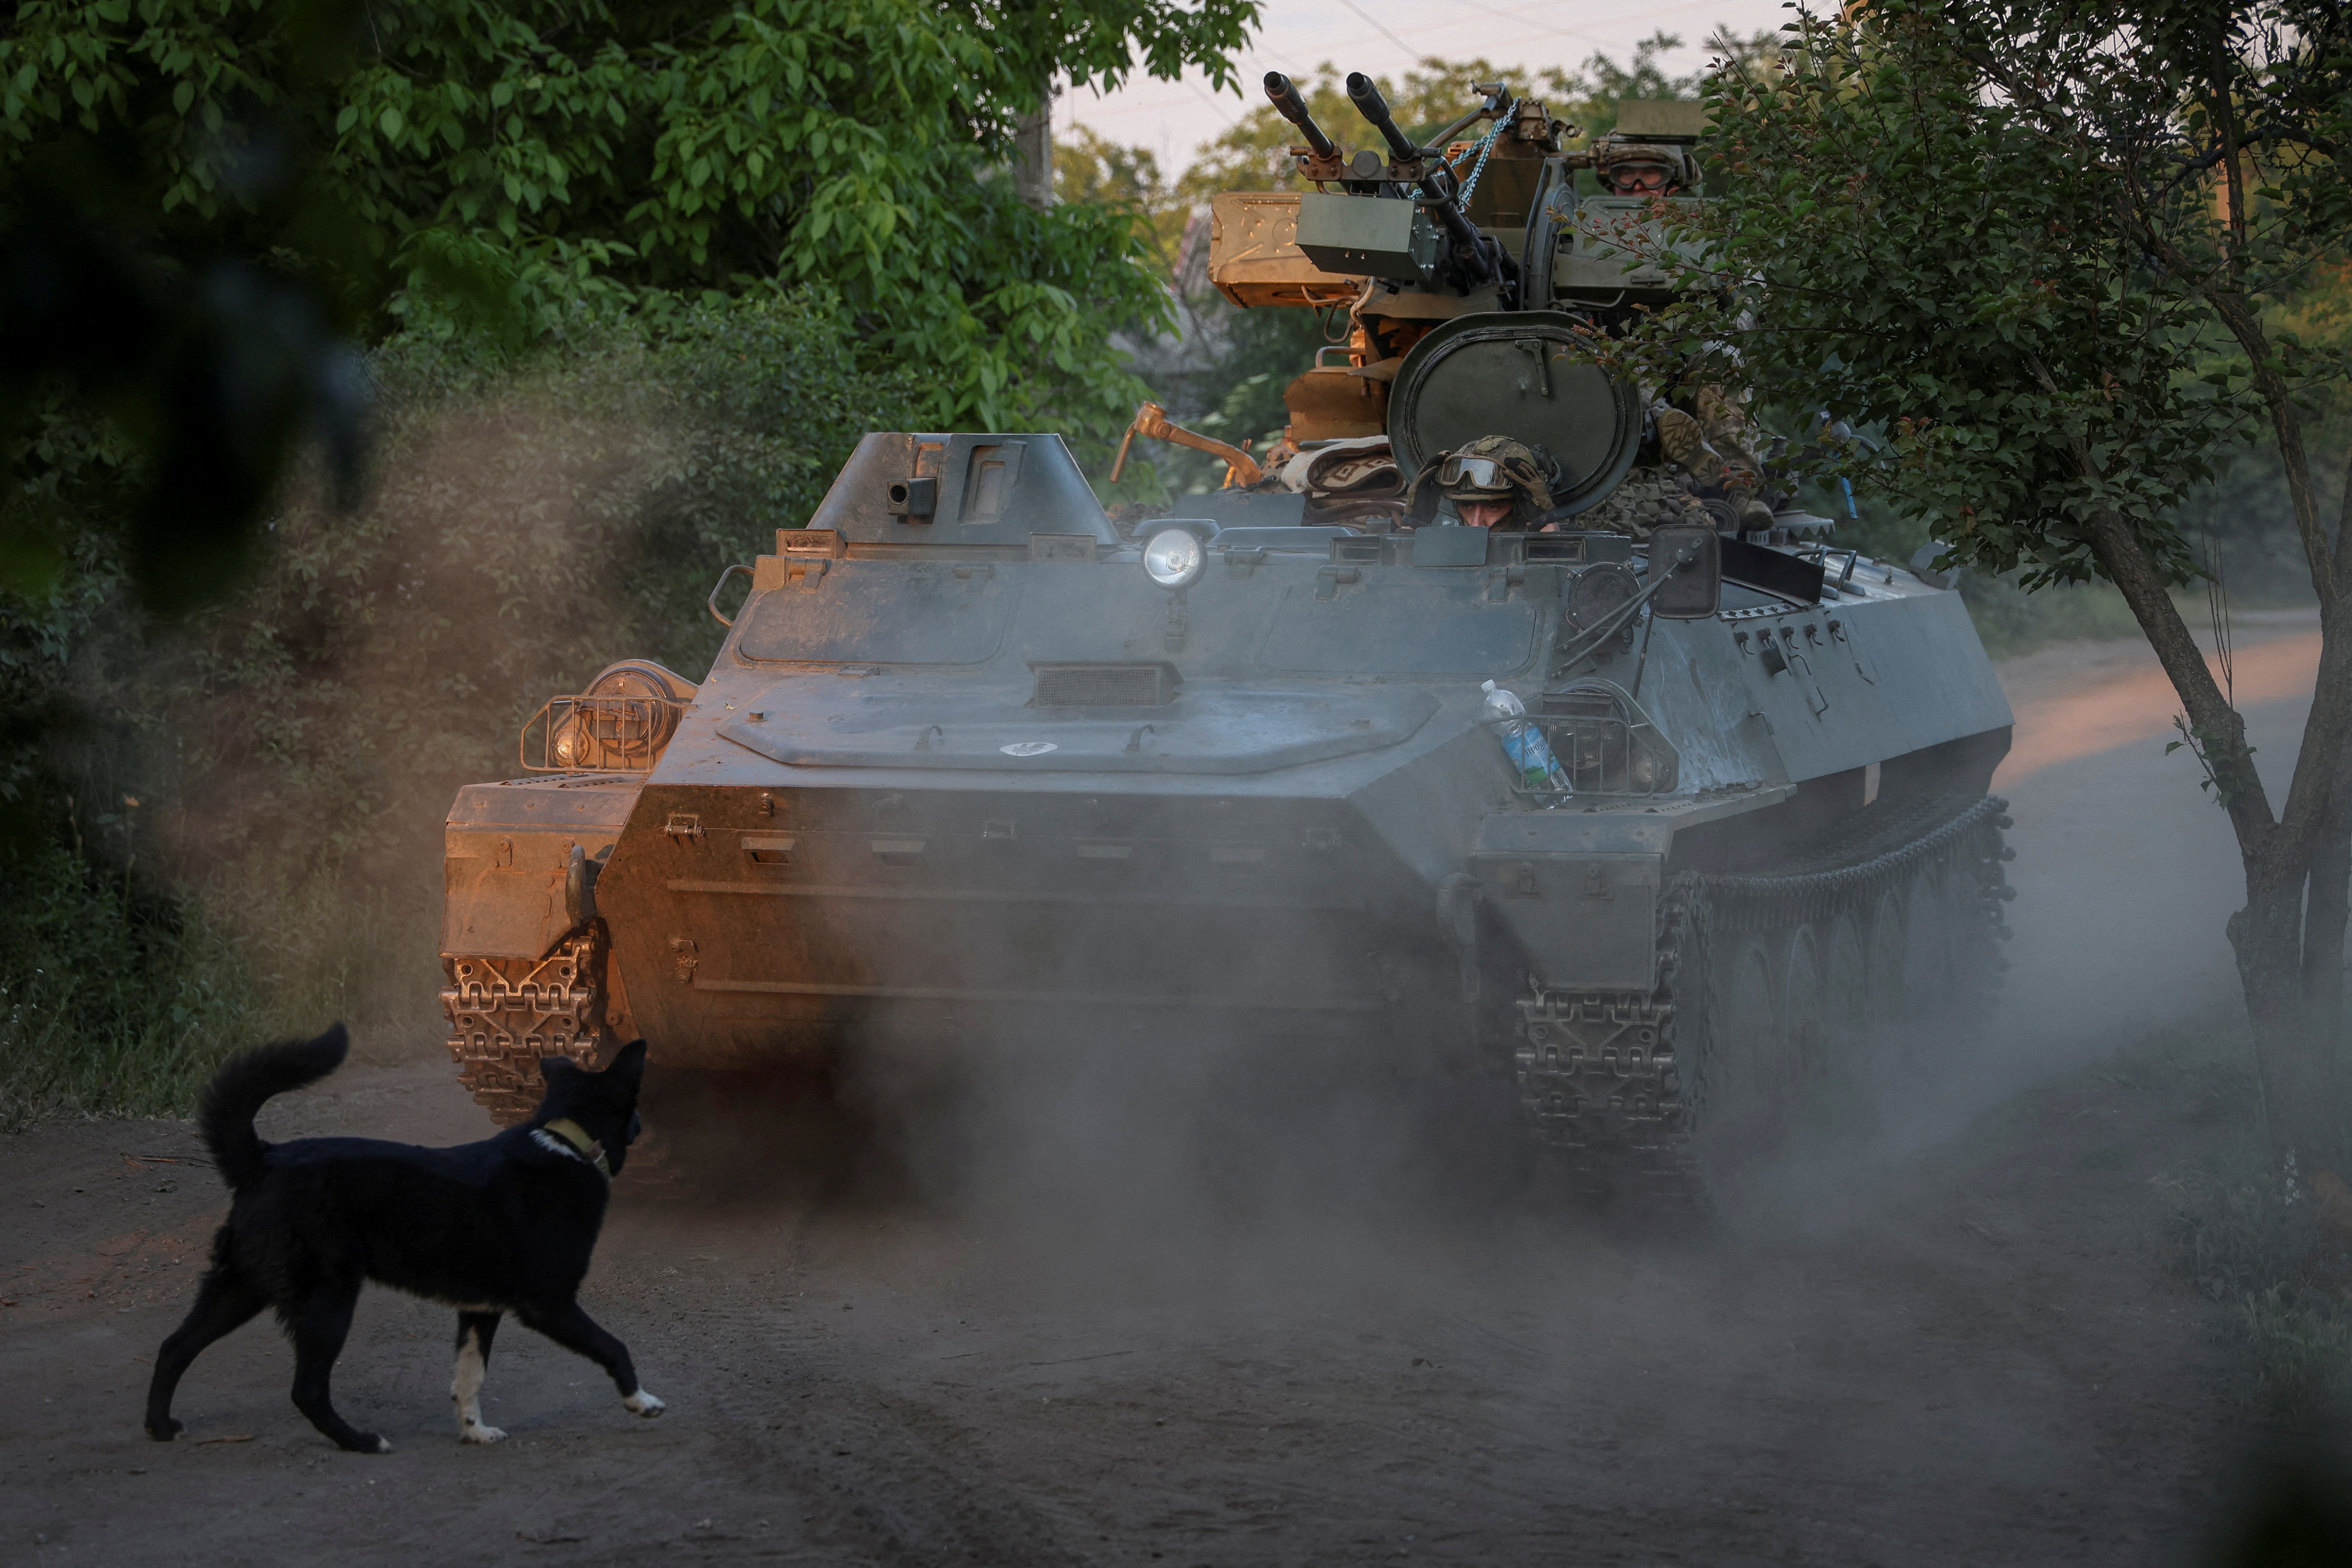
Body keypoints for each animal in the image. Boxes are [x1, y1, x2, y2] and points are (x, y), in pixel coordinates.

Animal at [144, 1025, 663, 1457]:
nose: (645, 1124)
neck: (568, 1144)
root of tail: (262, 1160)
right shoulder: (548, 1304)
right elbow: (614, 1347)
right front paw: (641, 1401)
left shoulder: (480, 1310)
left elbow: (469, 1375)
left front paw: (474, 1431)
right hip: (327, 1300)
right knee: (306, 1389)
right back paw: (360, 1442)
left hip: (240, 1287)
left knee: (174, 1347)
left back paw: (160, 1427)